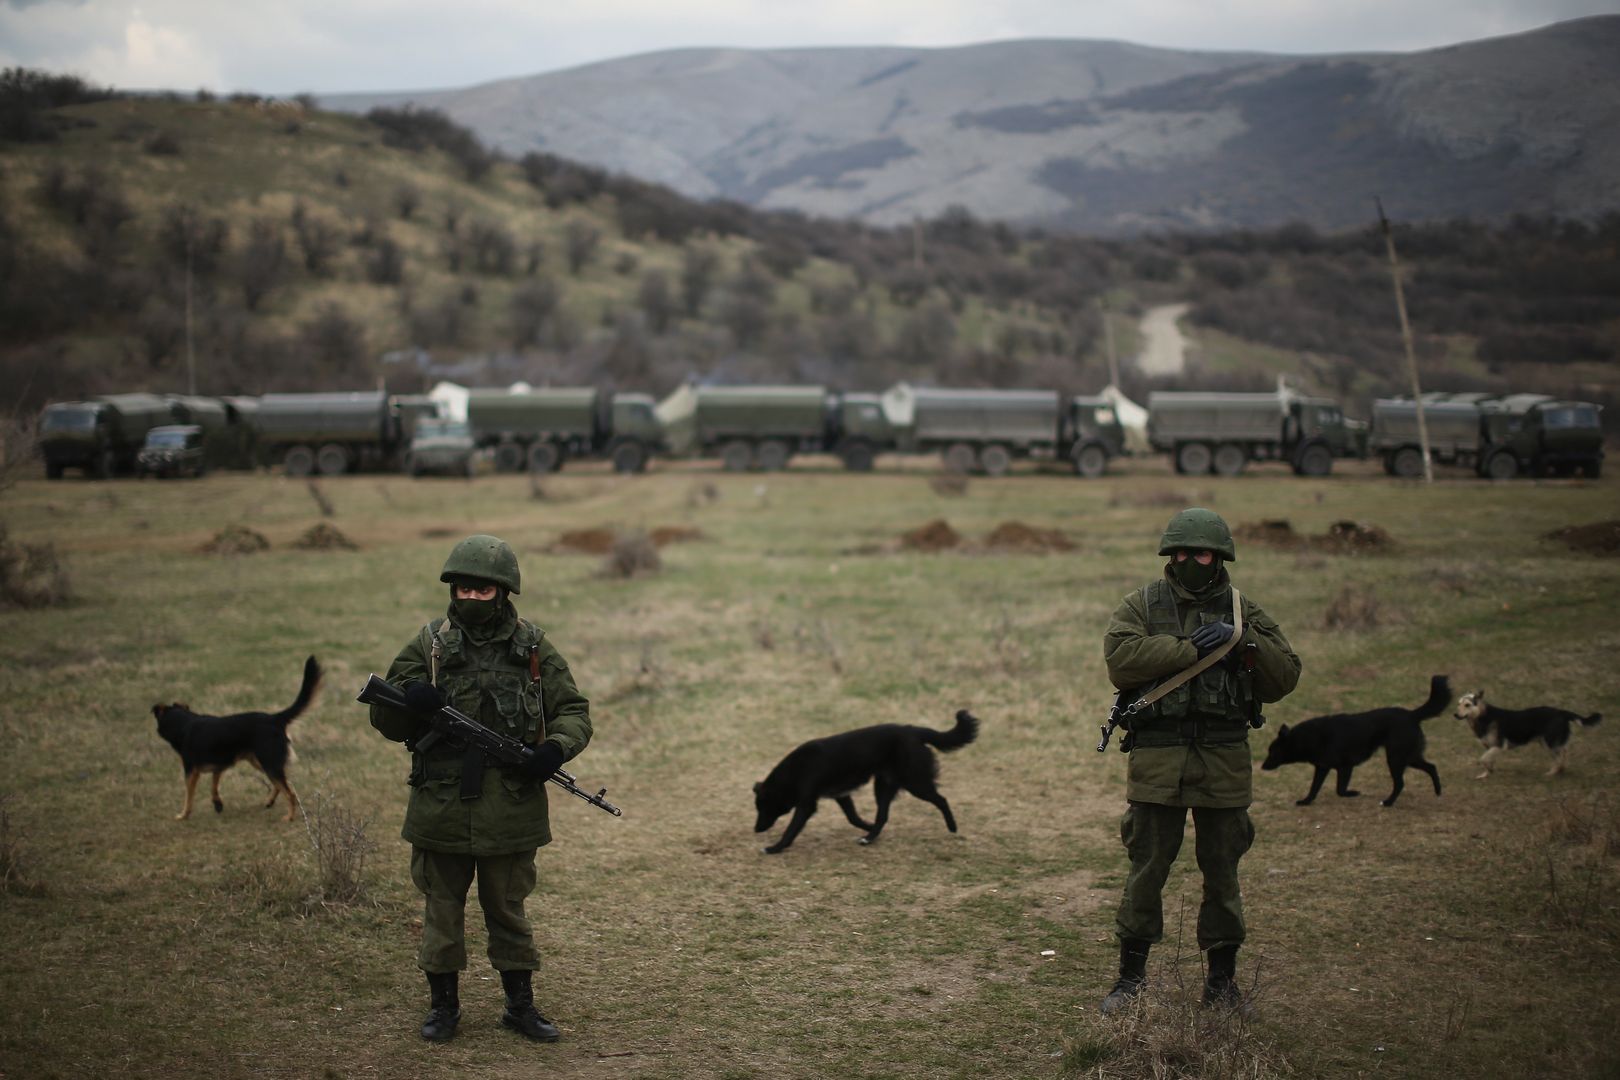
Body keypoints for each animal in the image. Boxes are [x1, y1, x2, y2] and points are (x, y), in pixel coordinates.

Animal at [155, 654, 322, 822]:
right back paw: (269, 801)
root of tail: (274, 718)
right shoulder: (219, 765)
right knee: (283, 784)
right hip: (260, 761)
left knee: (290, 793)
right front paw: (217, 803)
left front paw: (183, 814)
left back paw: (289, 816)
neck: (184, 723)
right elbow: (213, 785)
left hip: (268, 763)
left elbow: (189, 796)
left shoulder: (191, 771)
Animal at [754, 712, 978, 854]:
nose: (756, 829)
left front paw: (774, 848)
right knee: (883, 816)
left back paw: (952, 827)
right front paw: (865, 825)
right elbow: (852, 817)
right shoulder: (841, 795)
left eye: (764, 808)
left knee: (941, 799)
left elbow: (791, 829)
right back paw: (869, 837)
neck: (796, 770)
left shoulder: (807, 804)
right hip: (884, 786)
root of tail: (914, 731)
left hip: (915, 782)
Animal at [1257, 676, 1451, 809]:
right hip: (1409, 756)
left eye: (1272, 752)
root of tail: (1412, 715)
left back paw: (1388, 802)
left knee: (1400, 783)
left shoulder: (1345, 767)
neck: (1308, 737)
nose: (1262, 767)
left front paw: (1353, 793)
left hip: (1396, 758)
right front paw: (1306, 801)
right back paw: (1438, 791)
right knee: (1431, 767)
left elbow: (1340, 790)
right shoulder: (1322, 767)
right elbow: (1314, 788)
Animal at [1451, 693, 1600, 777]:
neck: (1483, 716)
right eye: (1458, 704)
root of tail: (1561, 712)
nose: (1456, 715)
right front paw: (1486, 774)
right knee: (1562, 753)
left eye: (1467, 705)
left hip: (1549, 742)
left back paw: (1553, 772)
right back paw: (1559, 770)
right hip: (1546, 743)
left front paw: (1488, 771)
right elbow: (1488, 761)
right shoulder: (1490, 747)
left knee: (1561, 755)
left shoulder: (1499, 746)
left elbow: (1482, 759)